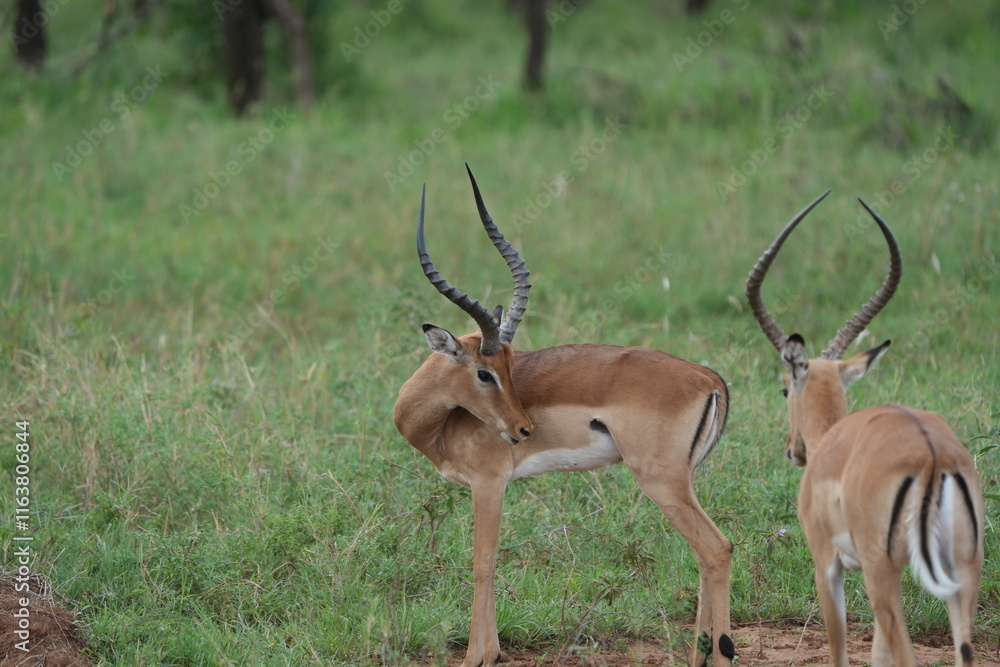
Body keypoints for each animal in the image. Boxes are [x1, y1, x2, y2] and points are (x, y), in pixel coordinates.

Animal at [393, 166, 735, 667]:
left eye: (504, 368)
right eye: (487, 370)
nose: (523, 430)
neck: (440, 423)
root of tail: (710, 379)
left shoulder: (488, 484)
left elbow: (482, 562)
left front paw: (476, 656)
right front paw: (492, 650)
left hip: (661, 480)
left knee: (716, 549)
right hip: (685, 481)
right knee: (705, 554)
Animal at [745, 193, 984, 667]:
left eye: (784, 389)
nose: (792, 450)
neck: (832, 442)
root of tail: (935, 457)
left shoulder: (826, 562)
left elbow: (840, 649)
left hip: (882, 571)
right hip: (962, 570)